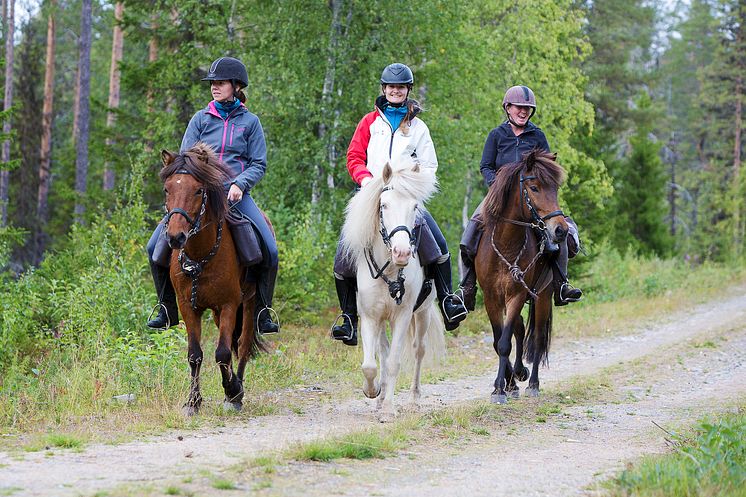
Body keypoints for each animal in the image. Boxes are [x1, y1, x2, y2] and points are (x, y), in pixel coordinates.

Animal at [159, 143, 264, 414]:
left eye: (198, 190)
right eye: (167, 189)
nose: (176, 237)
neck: (200, 256)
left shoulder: (229, 304)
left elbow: (223, 353)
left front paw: (233, 391)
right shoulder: (188, 306)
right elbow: (195, 354)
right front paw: (193, 402)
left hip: (249, 303)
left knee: (243, 345)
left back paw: (236, 391)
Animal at [340, 161, 444, 420]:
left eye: (415, 206)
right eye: (384, 205)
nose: (402, 252)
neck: (389, 269)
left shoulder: (403, 316)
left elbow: (395, 361)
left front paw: (388, 409)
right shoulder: (370, 316)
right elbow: (371, 364)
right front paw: (373, 392)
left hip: (423, 313)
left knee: (418, 350)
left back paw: (413, 400)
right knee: (383, 352)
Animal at [474, 150, 568, 404]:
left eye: (555, 188)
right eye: (534, 187)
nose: (561, 230)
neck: (507, 244)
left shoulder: (515, 295)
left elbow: (505, 342)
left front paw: (500, 387)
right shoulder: (492, 298)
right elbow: (498, 341)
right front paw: (507, 383)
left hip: (542, 296)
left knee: (537, 339)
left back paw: (532, 382)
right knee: (520, 328)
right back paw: (517, 376)